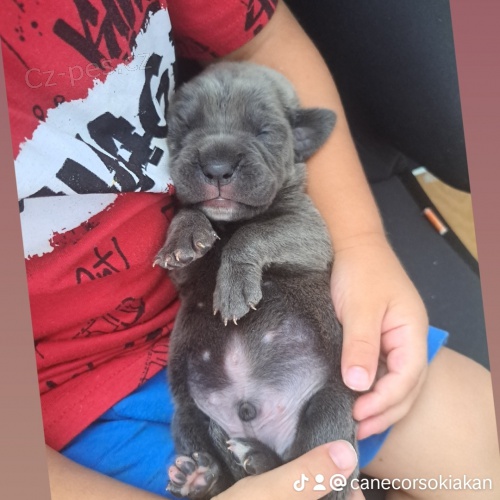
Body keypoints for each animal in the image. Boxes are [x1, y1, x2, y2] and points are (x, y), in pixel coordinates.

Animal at [154, 62, 358, 499]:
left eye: (264, 132)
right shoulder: (183, 274)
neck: (227, 223)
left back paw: (258, 457)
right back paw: (201, 476)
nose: (216, 168)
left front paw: (233, 287)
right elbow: (187, 213)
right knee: (227, 471)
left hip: (330, 410)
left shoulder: (309, 231)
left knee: (302, 465)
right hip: (188, 417)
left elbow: (256, 233)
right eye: (183, 126)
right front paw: (184, 237)